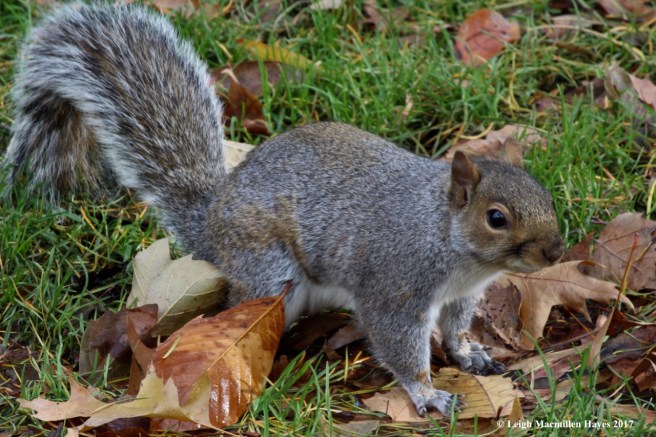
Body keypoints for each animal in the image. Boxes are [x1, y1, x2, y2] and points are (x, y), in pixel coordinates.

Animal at [3, 3, 564, 416]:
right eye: (496, 218)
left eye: (545, 194)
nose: (556, 252)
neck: (449, 241)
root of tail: (212, 226)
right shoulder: (396, 286)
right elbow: (401, 345)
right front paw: (427, 393)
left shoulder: (458, 296)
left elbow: (454, 328)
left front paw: (470, 353)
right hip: (270, 271)